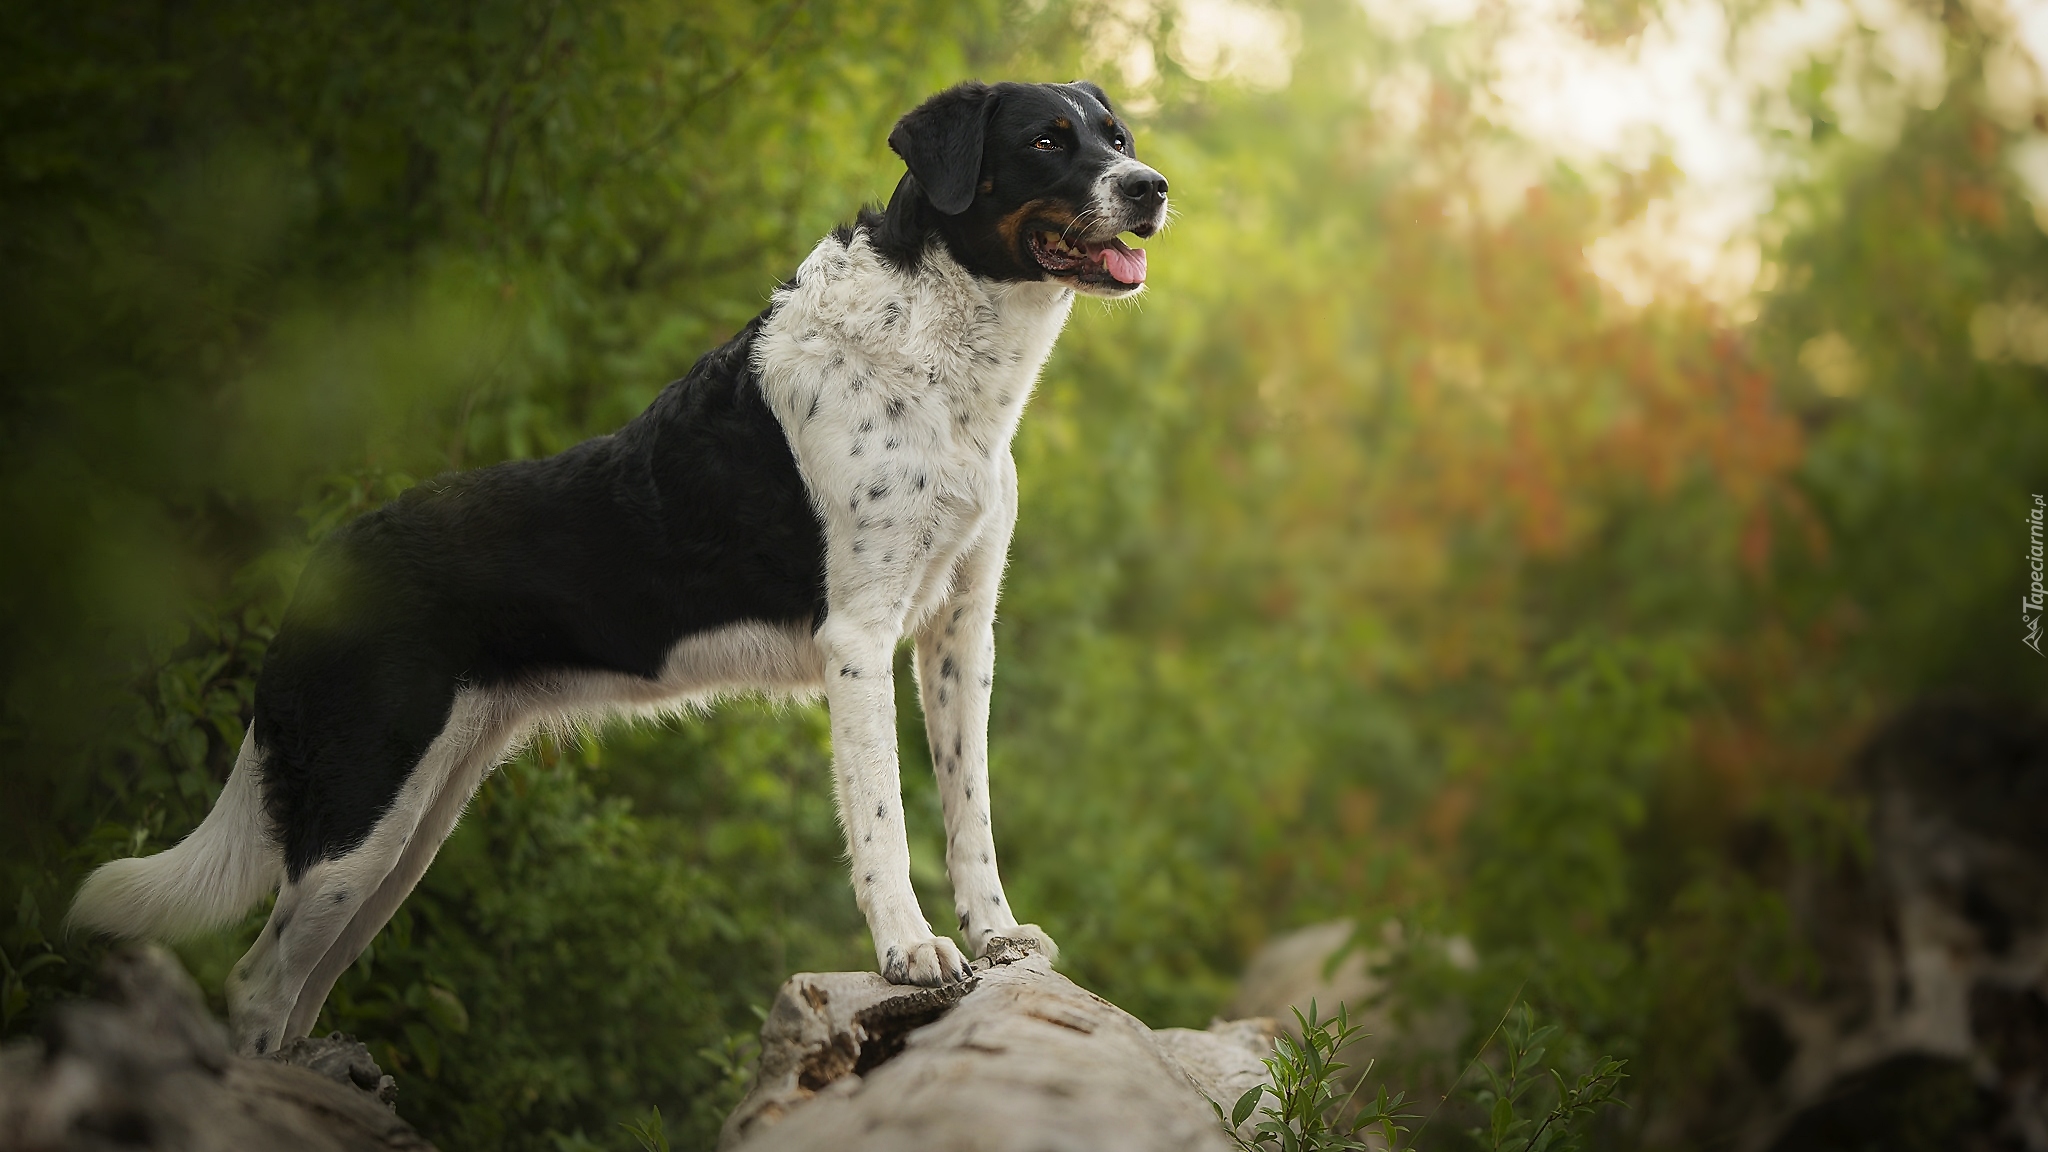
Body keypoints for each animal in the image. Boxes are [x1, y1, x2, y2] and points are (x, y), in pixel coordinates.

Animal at [64, 78, 1171, 1049]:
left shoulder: (956, 632)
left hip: (409, 830)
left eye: (1115, 137)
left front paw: (995, 935)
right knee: (259, 984)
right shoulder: (859, 639)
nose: (1152, 187)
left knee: (304, 986)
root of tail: (320, 565)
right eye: (1046, 142)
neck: (941, 349)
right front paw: (909, 950)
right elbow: (883, 820)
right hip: (359, 814)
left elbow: (966, 806)